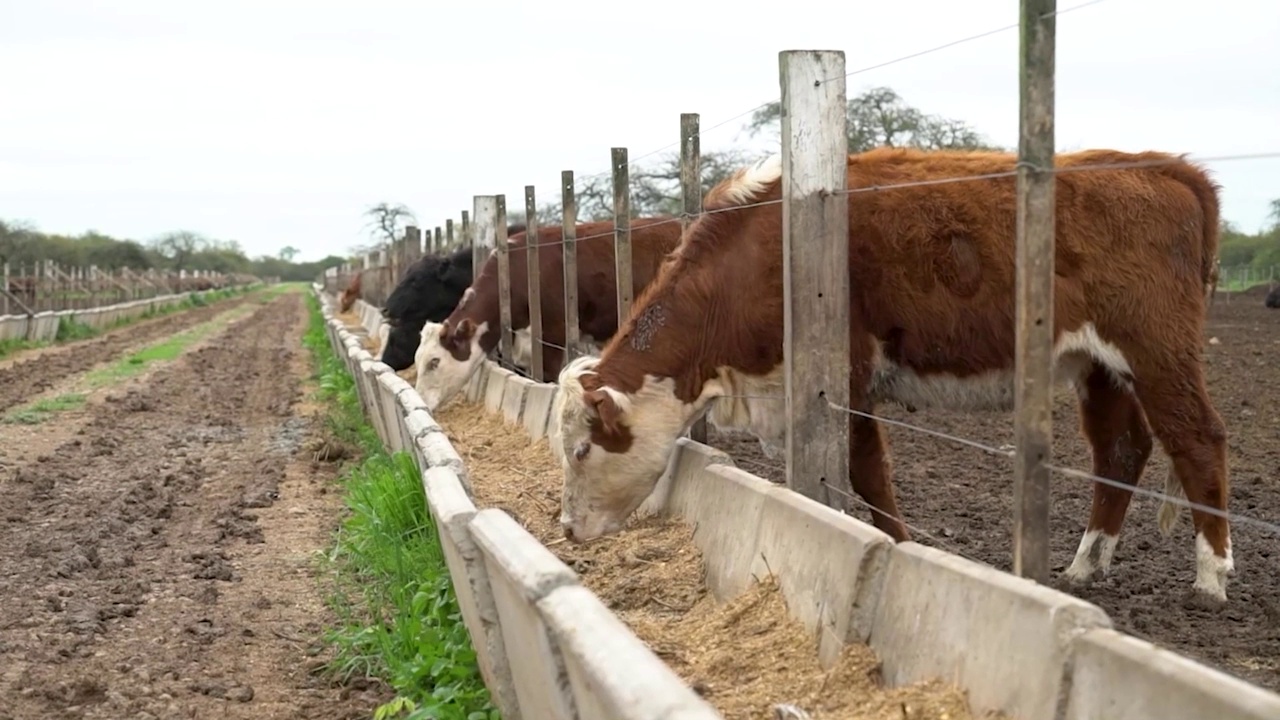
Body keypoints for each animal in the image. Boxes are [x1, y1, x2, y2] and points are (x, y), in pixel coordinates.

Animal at [555, 146, 1233, 599]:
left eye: (582, 449)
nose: (565, 528)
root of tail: (1162, 166)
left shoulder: (845, 377)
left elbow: (868, 474)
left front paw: (901, 548)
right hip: (1099, 368)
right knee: (1121, 449)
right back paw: (1086, 565)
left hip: (1158, 350)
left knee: (1198, 439)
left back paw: (1211, 575)